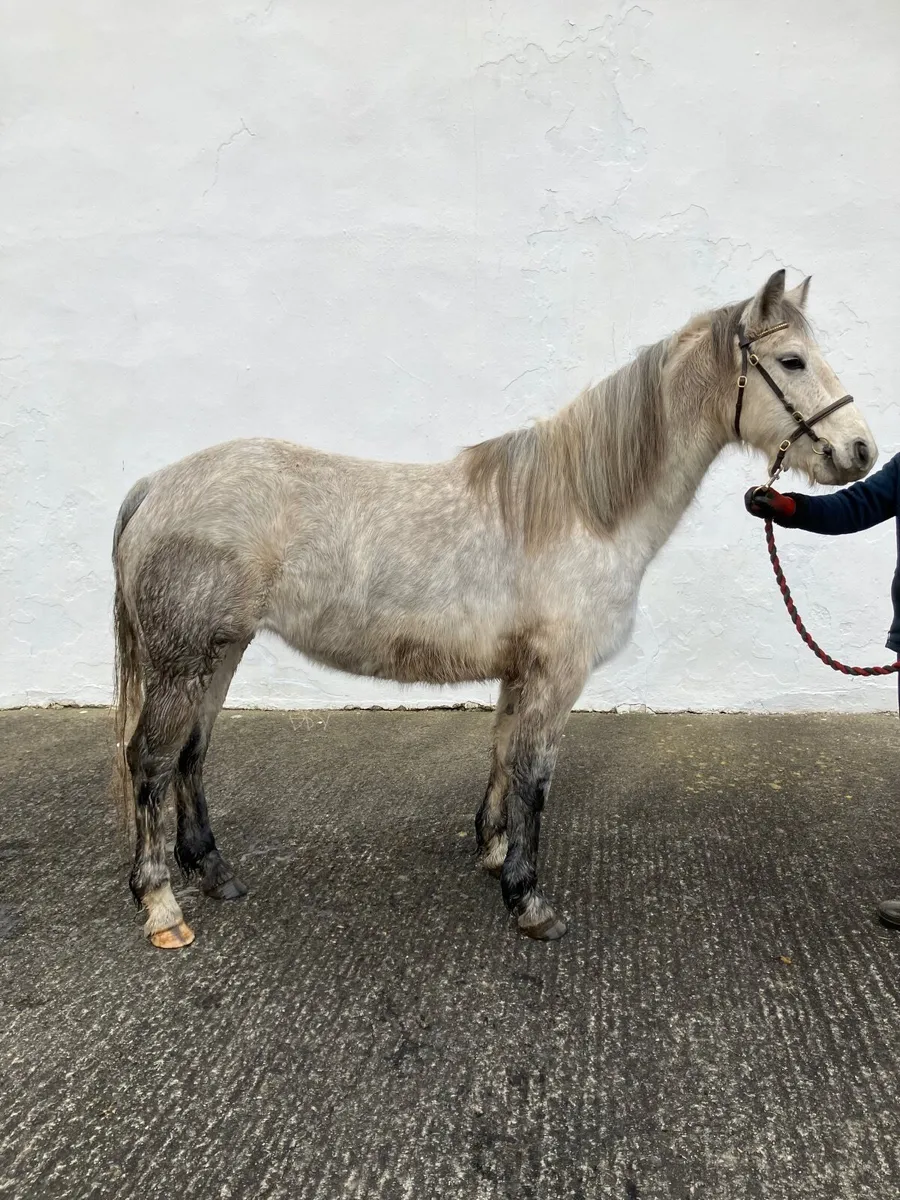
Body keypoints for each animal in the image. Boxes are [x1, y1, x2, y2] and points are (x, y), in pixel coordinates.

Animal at [112, 269, 876, 948]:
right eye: (792, 360)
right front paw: (529, 900)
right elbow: (536, 777)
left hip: (223, 650)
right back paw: (161, 905)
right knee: (150, 759)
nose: (860, 451)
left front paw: (494, 854)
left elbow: (505, 756)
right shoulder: (557, 674)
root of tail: (159, 484)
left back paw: (214, 872)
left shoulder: (522, 671)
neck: (581, 507)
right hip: (182, 663)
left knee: (192, 754)